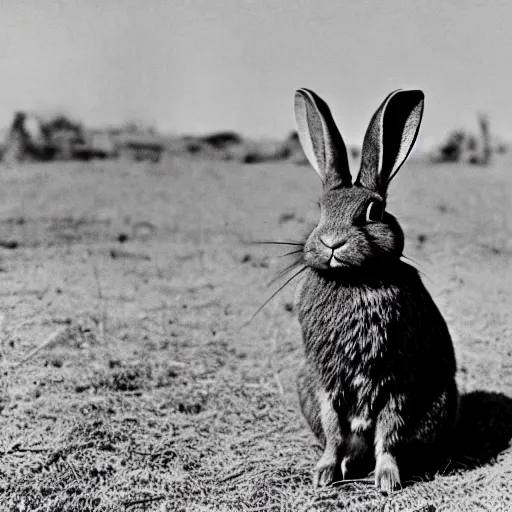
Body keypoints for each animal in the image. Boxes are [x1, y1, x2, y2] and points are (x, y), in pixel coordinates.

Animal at [292, 89, 460, 496]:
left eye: (374, 212)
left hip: (440, 400)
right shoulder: (325, 381)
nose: (331, 242)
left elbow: (389, 431)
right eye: (320, 210)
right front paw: (324, 474)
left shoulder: (397, 379)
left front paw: (386, 482)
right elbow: (334, 432)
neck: (354, 279)